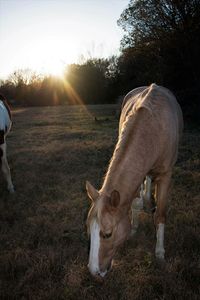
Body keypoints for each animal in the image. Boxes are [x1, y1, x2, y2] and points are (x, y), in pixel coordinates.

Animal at [86, 83, 183, 278]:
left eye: (107, 234)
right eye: (88, 230)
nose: (93, 272)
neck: (152, 129)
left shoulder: (166, 175)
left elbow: (161, 213)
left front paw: (160, 253)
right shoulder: (138, 172)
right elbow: (135, 202)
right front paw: (134, 227)